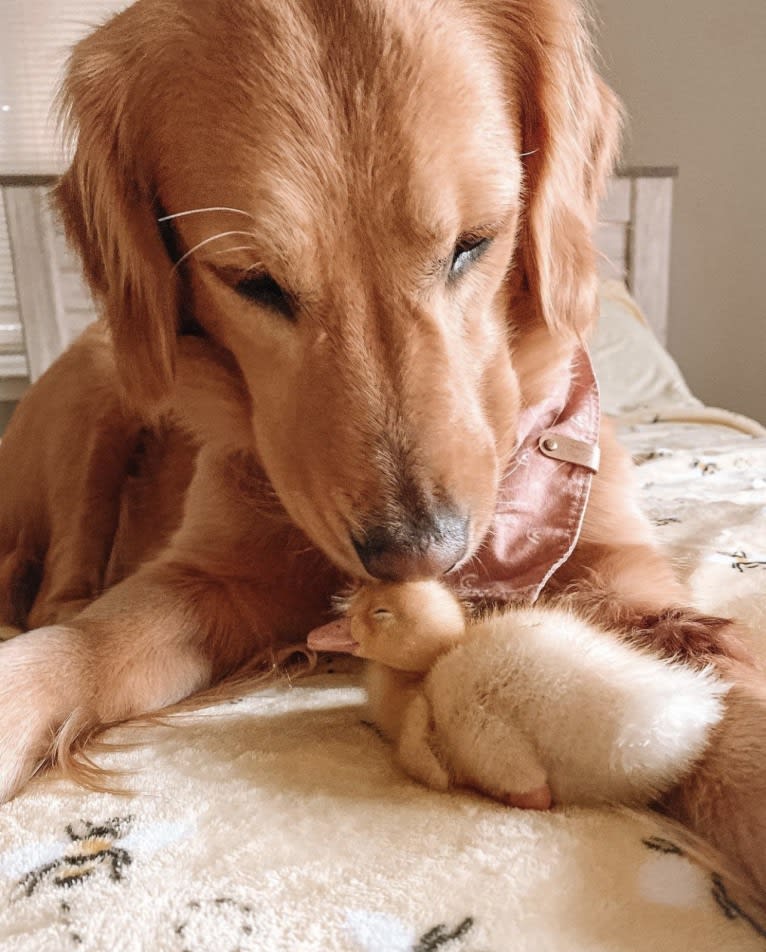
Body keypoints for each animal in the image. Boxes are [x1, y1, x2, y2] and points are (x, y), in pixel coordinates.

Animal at [1, 0, 766, 896]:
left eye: (476, 242)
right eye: (251, 281)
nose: (418, 555)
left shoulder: (616, 563)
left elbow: (703, 665)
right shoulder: (213, 577)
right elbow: (93, 640)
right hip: (97, 388)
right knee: (62, 582)